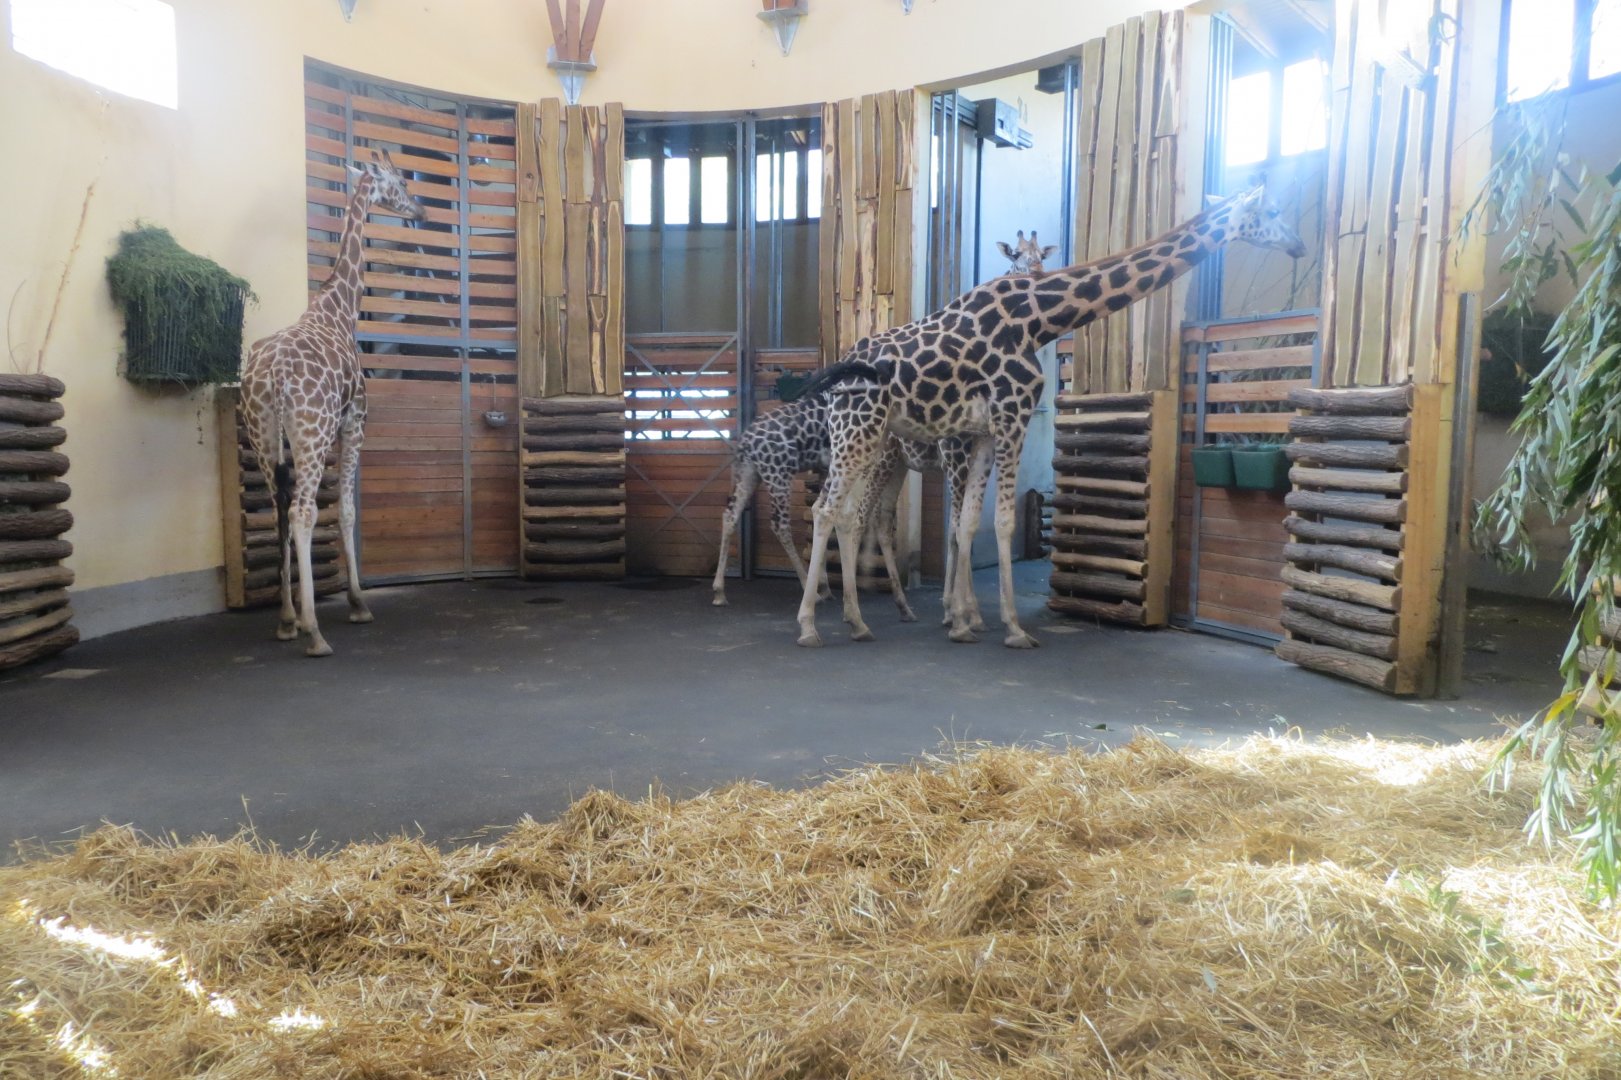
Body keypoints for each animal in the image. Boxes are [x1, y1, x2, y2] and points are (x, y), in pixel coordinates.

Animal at [239, 149, 424, 657]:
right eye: (400, 182)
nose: (418, 210)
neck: (341, 308)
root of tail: (274, 376)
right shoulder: (354, 420)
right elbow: (345, 510)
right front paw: (359, 603)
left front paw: (297, 618)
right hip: (312, 432)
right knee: (303, 511)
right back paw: (314, 632)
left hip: (263, 435)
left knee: (280, 511)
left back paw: (287, 620)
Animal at [792, 184, 1306, 648]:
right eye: (1273, 211)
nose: (1299, 245)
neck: (1039, 319)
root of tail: (839, 370)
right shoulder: (1010, 416)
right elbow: (999, 522)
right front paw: (1012, 628)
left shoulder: (984, 432)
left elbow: (967, 523)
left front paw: (964, 621)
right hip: (860, 433)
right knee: (825, 509)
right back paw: (811, 625)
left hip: (872, 440)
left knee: (849, 515)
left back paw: (858, 621)